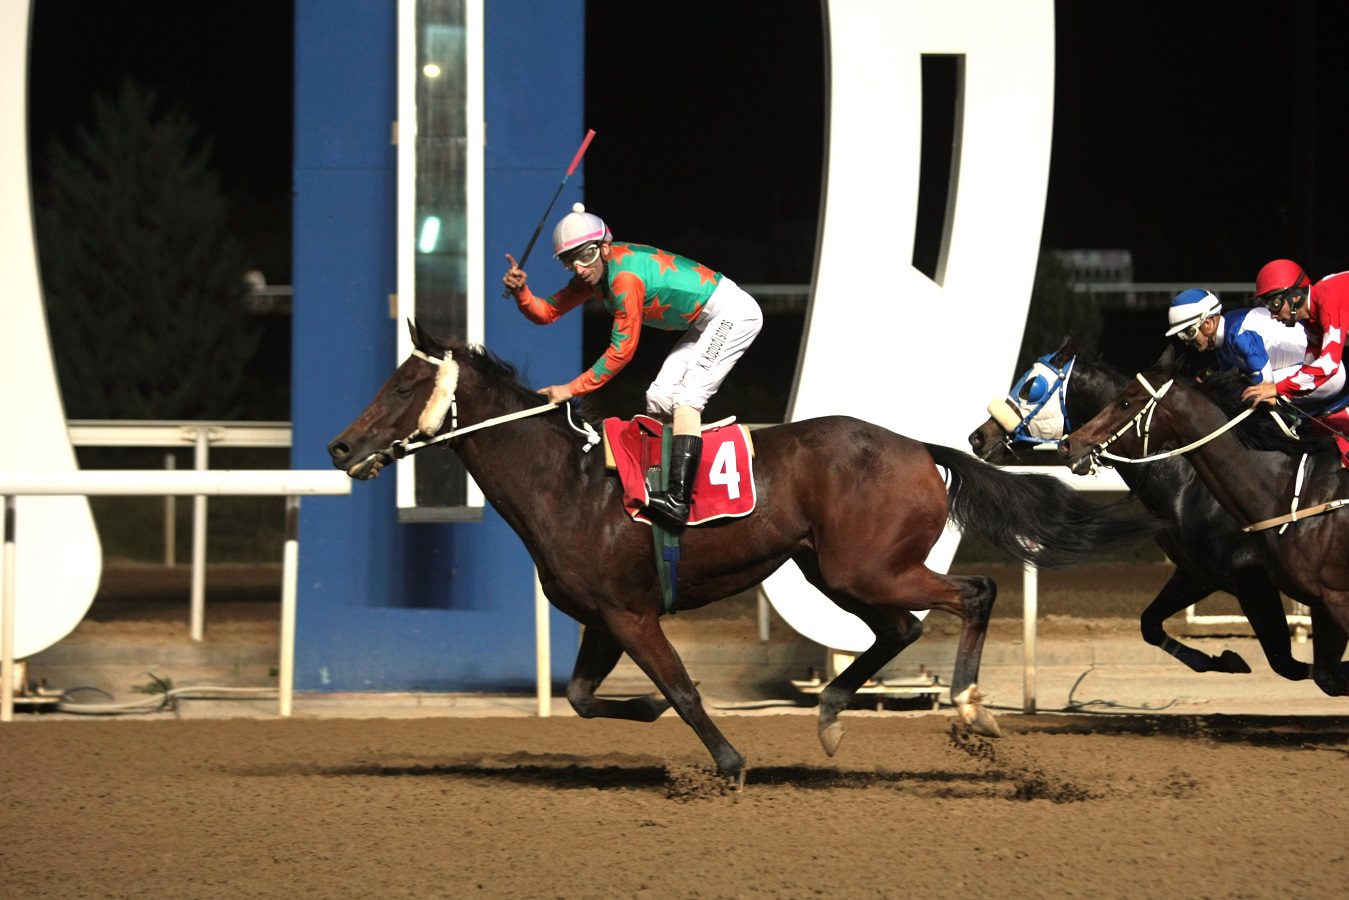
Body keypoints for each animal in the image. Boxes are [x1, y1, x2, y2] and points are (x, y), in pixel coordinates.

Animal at [327, 321, 1159, 779]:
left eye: (401, 387)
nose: (340, 447)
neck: (568, 482)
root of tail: (918, 448)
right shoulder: (603, 615)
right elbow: (583, 696)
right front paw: (640, 713)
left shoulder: (630, 615)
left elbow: (683, 689)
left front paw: (726, 762)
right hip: (832, 569)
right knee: (899, 629)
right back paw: (830, 713)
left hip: (867, 566)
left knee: (972, 594)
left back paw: (971, 705)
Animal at [969, 337, 1311, 684]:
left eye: (1031, 386)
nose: (978, 437)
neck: (1188, 482)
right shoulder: (1198, 573)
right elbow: (1149, 624)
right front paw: (1223, 659)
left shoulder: (1251, 578)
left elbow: (1287, 661)